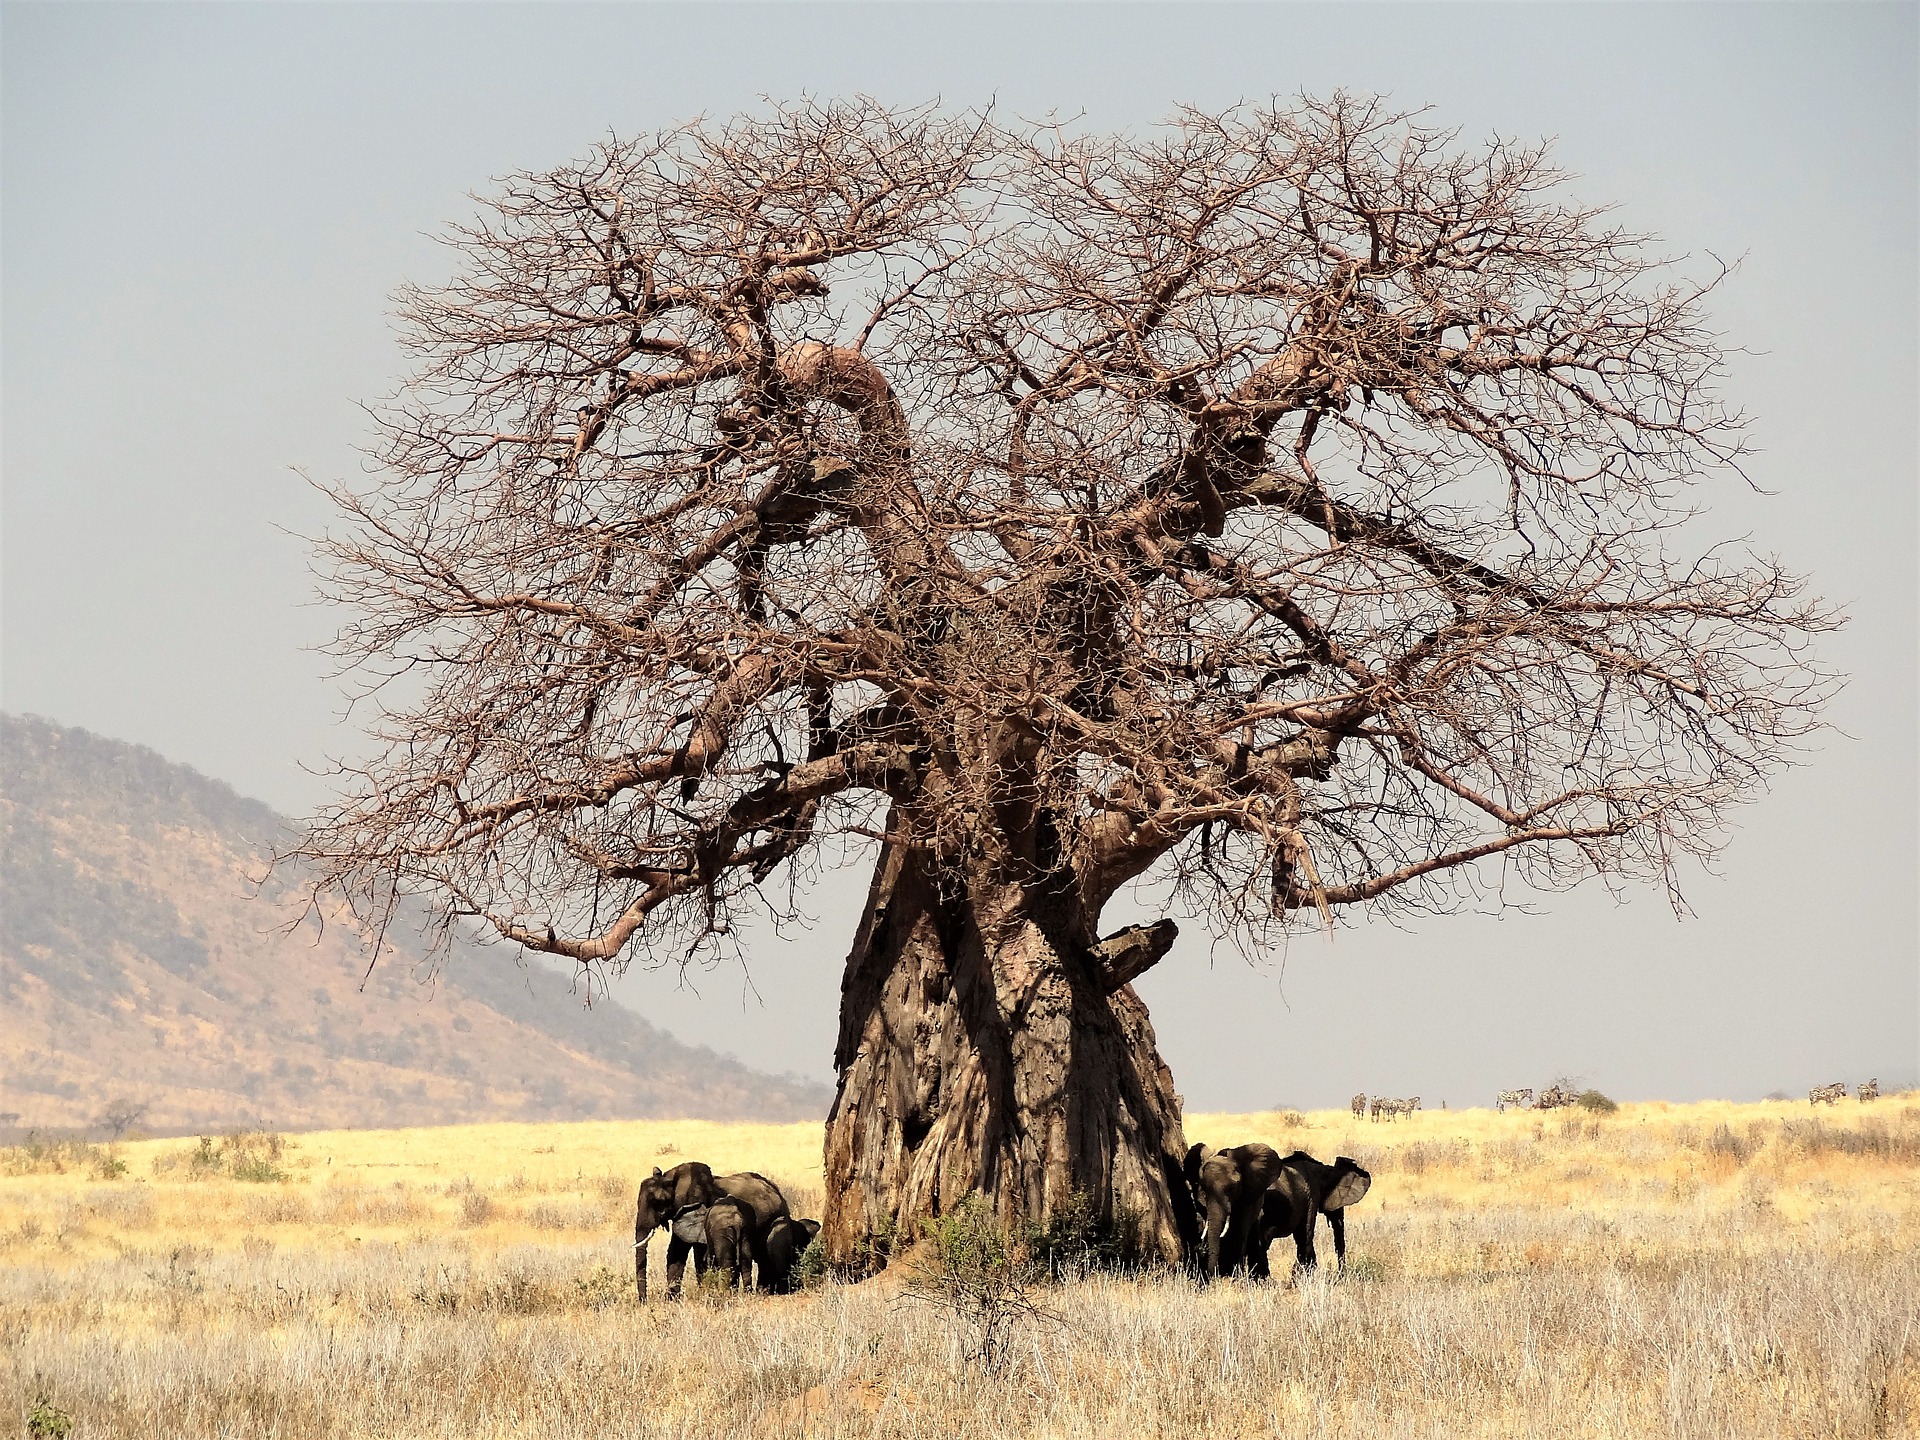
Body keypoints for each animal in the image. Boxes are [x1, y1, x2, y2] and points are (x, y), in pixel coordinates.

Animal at [633, 1159, 791, 1305]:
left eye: (658, 1202)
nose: (644, 1302)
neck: (672, 1178)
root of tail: (775, 1189)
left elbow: (698, 1254)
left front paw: (704, 1294)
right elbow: (676, 1251)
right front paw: (671, 1301)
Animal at [1175, 1144, 1282, 1282]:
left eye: (1231, 1189)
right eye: (1204, 1189)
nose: (1212, 1275)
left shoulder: (1249, 1197)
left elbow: (1241, 1231)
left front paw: (1236, 1276)